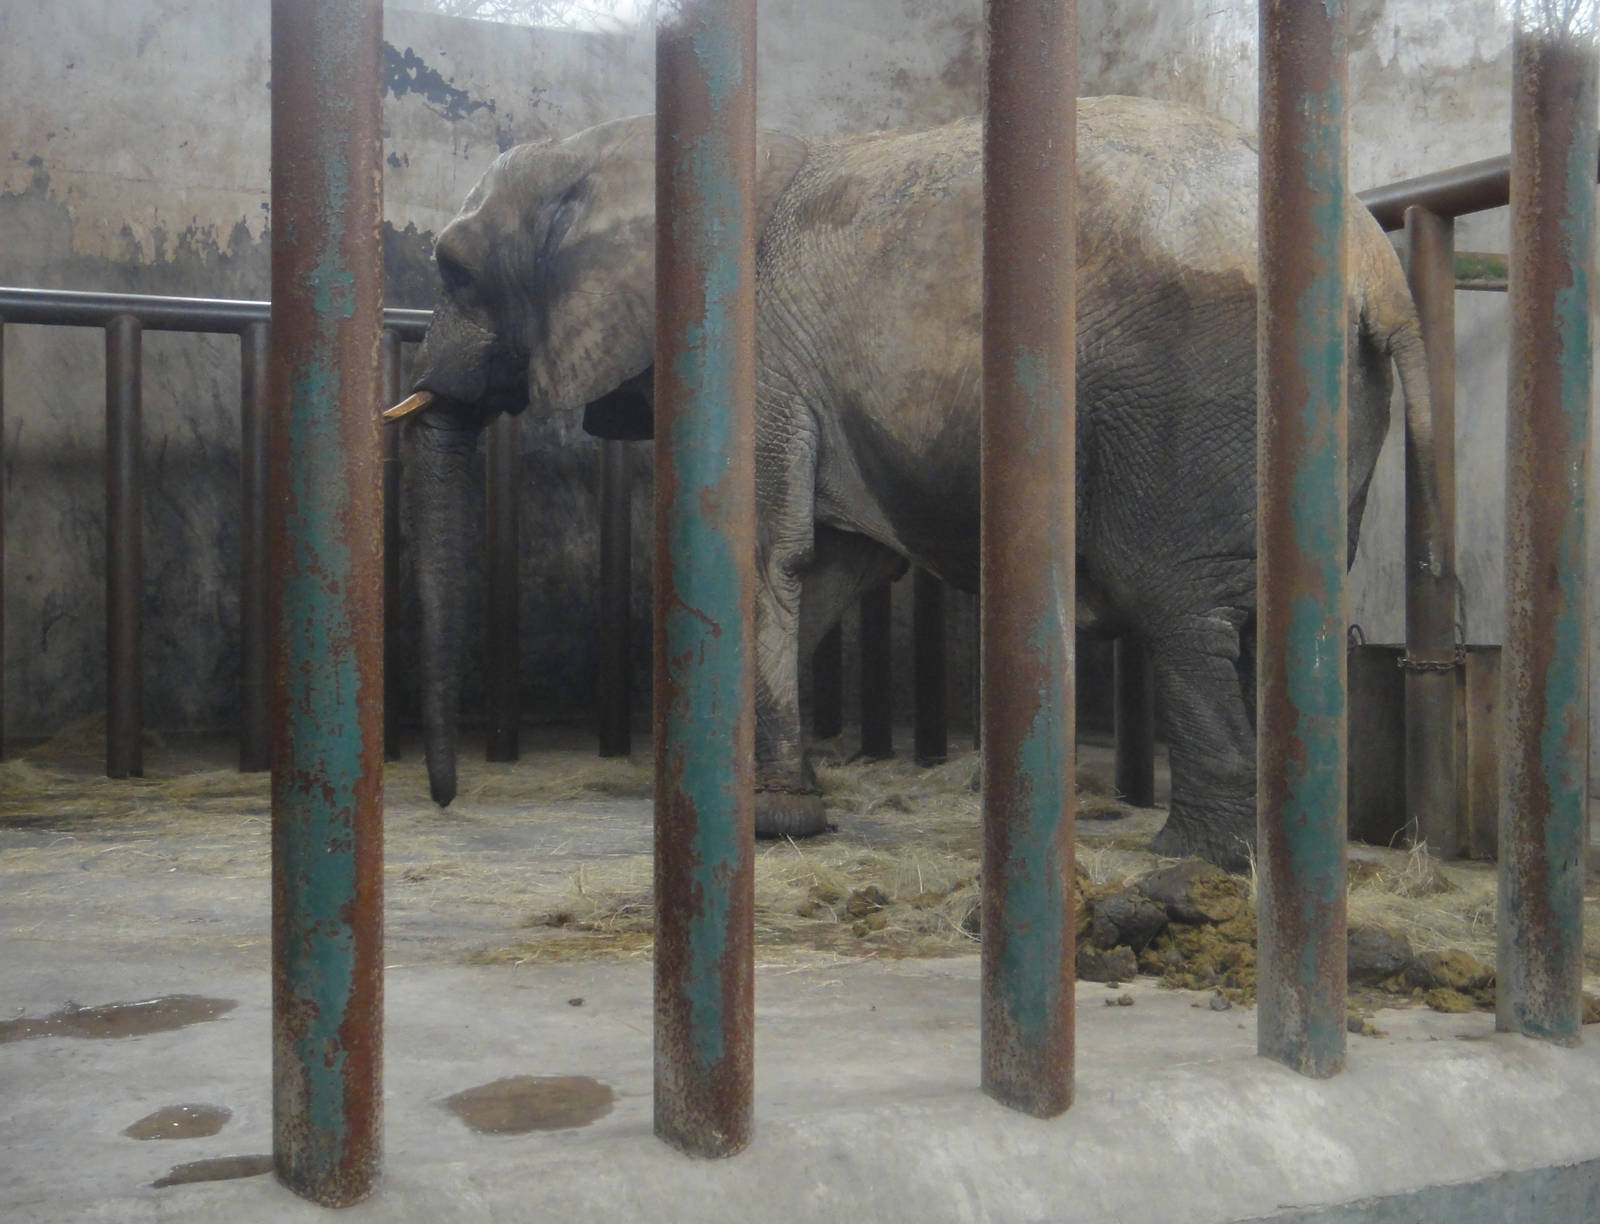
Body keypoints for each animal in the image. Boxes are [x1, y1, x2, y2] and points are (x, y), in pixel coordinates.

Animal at [396, 94, 1438, 871]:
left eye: (454, 269)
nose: (444, 799)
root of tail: (1377, 267)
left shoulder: (760, 356)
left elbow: (768, 551)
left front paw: (764, 823)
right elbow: (826, 568)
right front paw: (767, 799)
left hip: (1195, 381)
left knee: (1180, 609)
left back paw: (1197, 858)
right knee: (1273, 614)